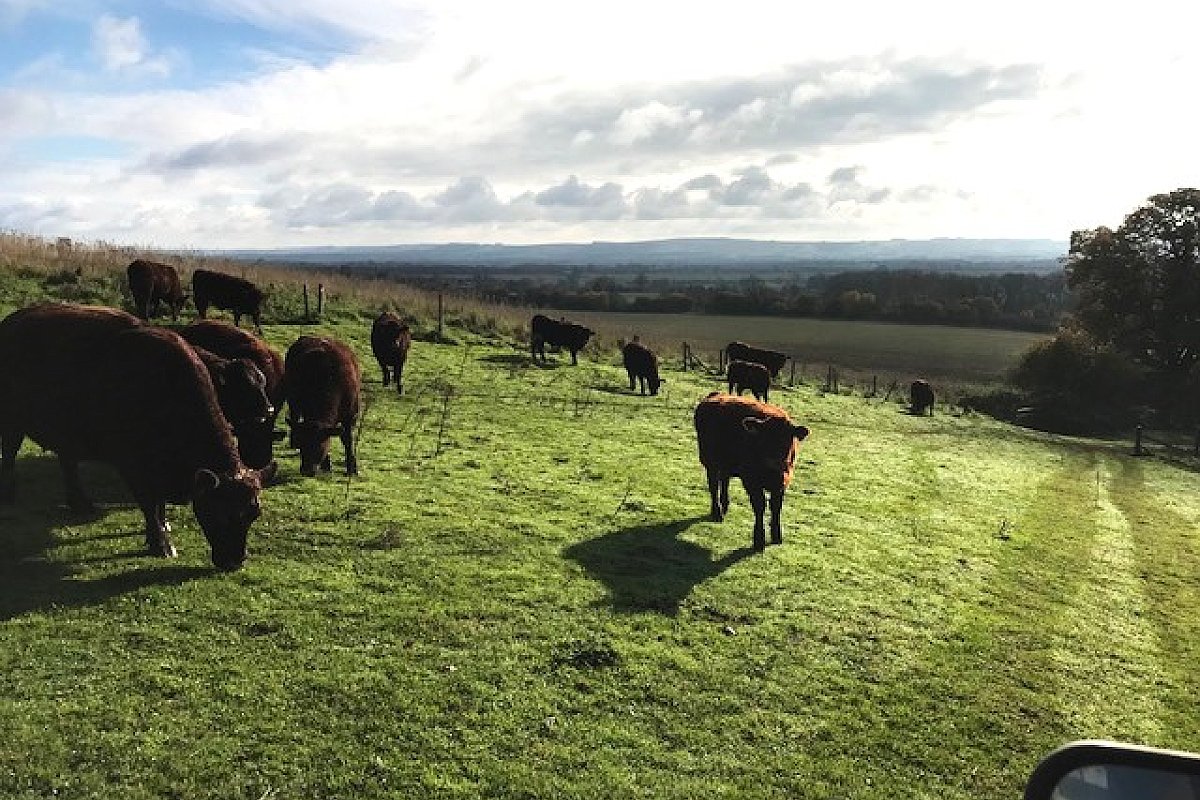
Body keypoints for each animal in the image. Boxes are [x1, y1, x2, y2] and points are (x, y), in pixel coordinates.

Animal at [0, 303, 262, 570]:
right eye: (222, 514)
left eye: (253, 515)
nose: (235, 561)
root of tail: (11, 323)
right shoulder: (133, 467)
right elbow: (148, 503)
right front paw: (161, 543)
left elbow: (160, 505)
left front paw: (162, 528)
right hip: (12, 421)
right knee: (10, 453)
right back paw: (9, 494)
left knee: (68, 464)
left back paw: (80, 502)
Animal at [282, 335, 361, 477]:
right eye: (303, 446)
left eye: (319, 447)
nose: (306, 470)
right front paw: (327, 465)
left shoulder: (351, 416)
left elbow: (348, 440)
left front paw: (352, 468)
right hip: (292, 400)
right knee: (294, 418)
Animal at [694, 392, 810, 552]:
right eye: (764, 440)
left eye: (787, 441)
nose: (774, 466)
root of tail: (715, 394)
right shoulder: (752, 480)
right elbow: (760, 506)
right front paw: (759, 539)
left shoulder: (781, 483)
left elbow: (776, 507)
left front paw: (776, 536)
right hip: (710, 462)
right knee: (713, 486)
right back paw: (717, 513)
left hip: (725, 464)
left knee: (724, 481)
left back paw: (725, 505)